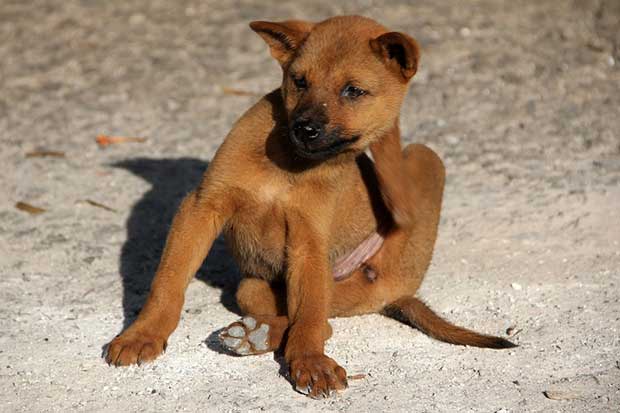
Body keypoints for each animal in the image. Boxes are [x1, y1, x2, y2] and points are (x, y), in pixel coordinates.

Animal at [105, 16, 512, 400]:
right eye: (299, 81)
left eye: (353, 91)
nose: (305, 129)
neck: (289, 164)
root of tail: (399, 293)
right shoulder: (201, 207)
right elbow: (168, 282)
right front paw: (143, 334)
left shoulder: (308, 241)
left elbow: (309, 317)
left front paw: (310, 362)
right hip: (253, 286)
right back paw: (254, 333)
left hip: (423, 161)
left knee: (320, 319)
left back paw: (256, 335)